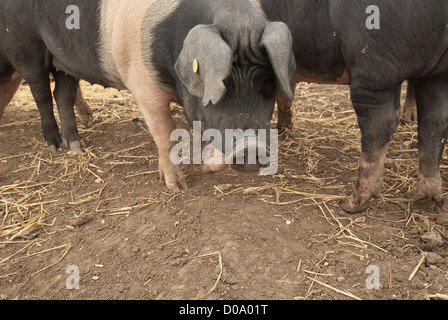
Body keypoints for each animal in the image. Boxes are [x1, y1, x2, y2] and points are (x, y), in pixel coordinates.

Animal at [0, 0, 298, 190]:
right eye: (223, 85)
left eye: (268, 85)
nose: (251, 148)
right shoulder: (141, 84)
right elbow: (164, 134)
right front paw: (177, 187)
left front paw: (203, 167)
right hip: (23, 44)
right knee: (40, 92)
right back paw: (54, 145)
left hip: (64, 61)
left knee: (62, 93)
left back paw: (75, 147)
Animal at [254, 1, 448, 215]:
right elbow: (284, 95)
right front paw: (282, 130)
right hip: (438, 73)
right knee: (434, 124)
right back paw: (425, 203)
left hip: (374, 63)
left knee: (381, 123)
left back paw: (352, 203)